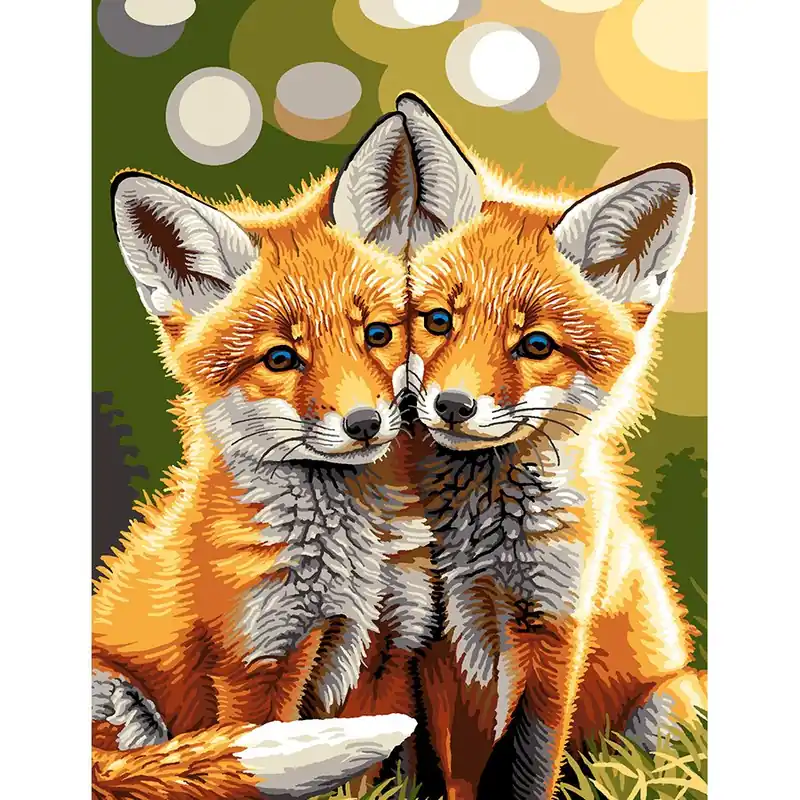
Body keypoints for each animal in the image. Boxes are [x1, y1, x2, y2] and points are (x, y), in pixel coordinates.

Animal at [91, 111, 464, 799]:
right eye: (281, 358)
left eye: (377, 333)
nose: (365, 423)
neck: (353, 560)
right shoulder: (257, 663)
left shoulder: (387, 651)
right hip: (124, 708)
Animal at [393, 94, 708, 800]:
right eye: (438, 320)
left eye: (536, 345)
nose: (452, 406)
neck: (480, 542)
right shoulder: (426, 635)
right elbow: (430, 761)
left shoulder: (554, 633)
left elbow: (528, 764)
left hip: (665, 711)